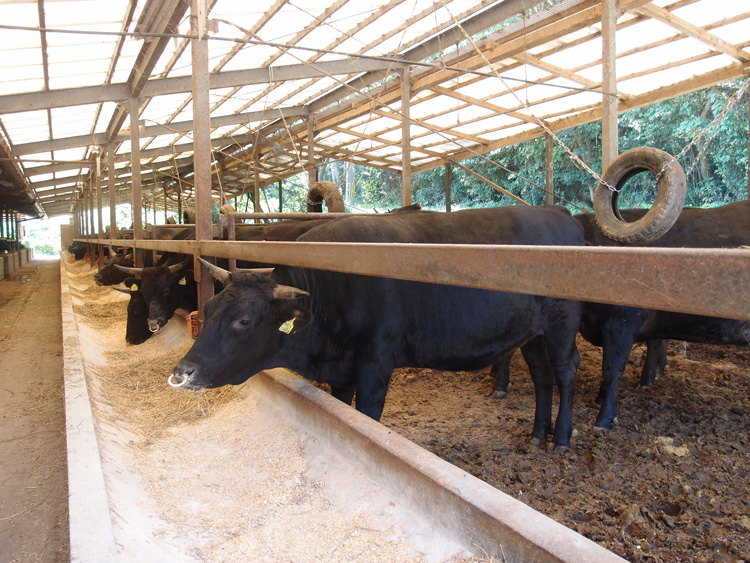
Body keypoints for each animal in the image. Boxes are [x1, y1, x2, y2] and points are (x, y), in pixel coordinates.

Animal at [172, 205, 588, 452]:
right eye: (208, 308)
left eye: (243, 320)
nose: (181, 372)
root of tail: (558, 211)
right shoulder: (342, 371)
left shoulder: (376, 365)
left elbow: (367, 419)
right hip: (532, 333)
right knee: (542, 376)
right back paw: (537, 434)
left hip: (562, 323)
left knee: (565, 372)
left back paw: (561, 439)